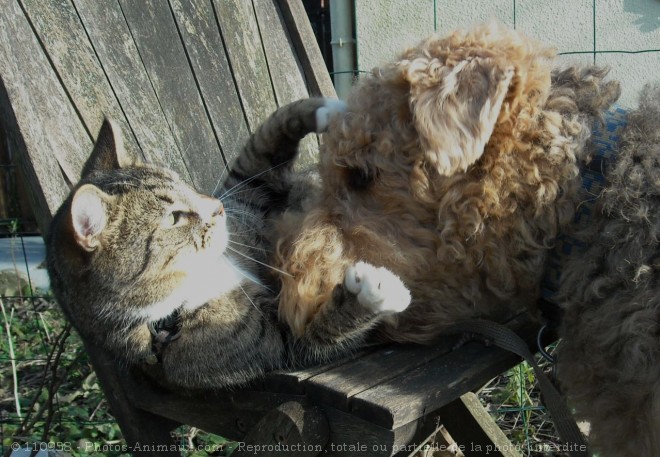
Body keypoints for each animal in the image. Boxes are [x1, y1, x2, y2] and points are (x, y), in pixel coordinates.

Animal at [46, 98, 410, 386]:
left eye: (184, 183)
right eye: (174, 217)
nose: (217, 206)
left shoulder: (248, 198)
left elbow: (260, 151)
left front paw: (327, 110)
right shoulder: (279, 343)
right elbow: (319, 335)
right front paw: (373, 294)